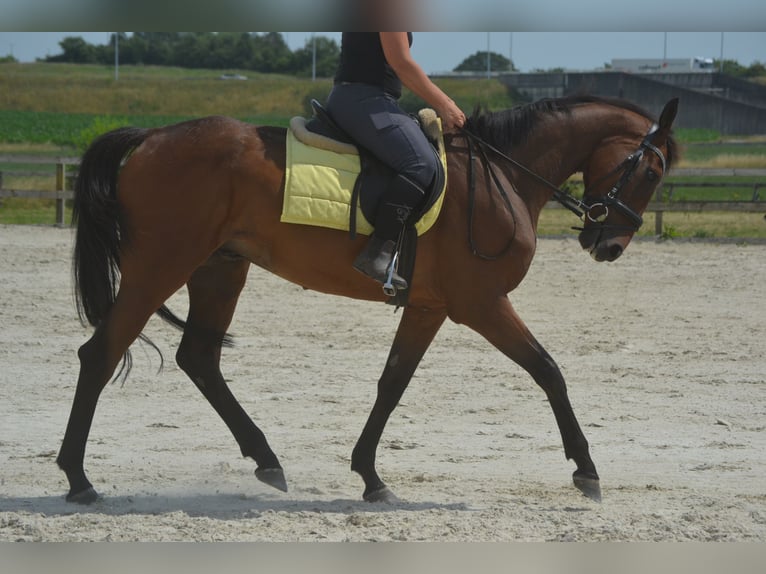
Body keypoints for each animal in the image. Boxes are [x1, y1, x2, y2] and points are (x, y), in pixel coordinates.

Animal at [57, 94, 679, 505]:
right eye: (651, 170)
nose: (610, 245)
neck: (500, 174)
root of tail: (150, 138)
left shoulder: (430, 307)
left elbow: (393, 382)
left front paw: (370, 477)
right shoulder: (481, 304)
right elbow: (549, 370)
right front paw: (587, 469)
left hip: (219, 269)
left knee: (199, 358)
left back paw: (267, 461)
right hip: (159, 268)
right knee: (101, 354)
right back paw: (78, 480)